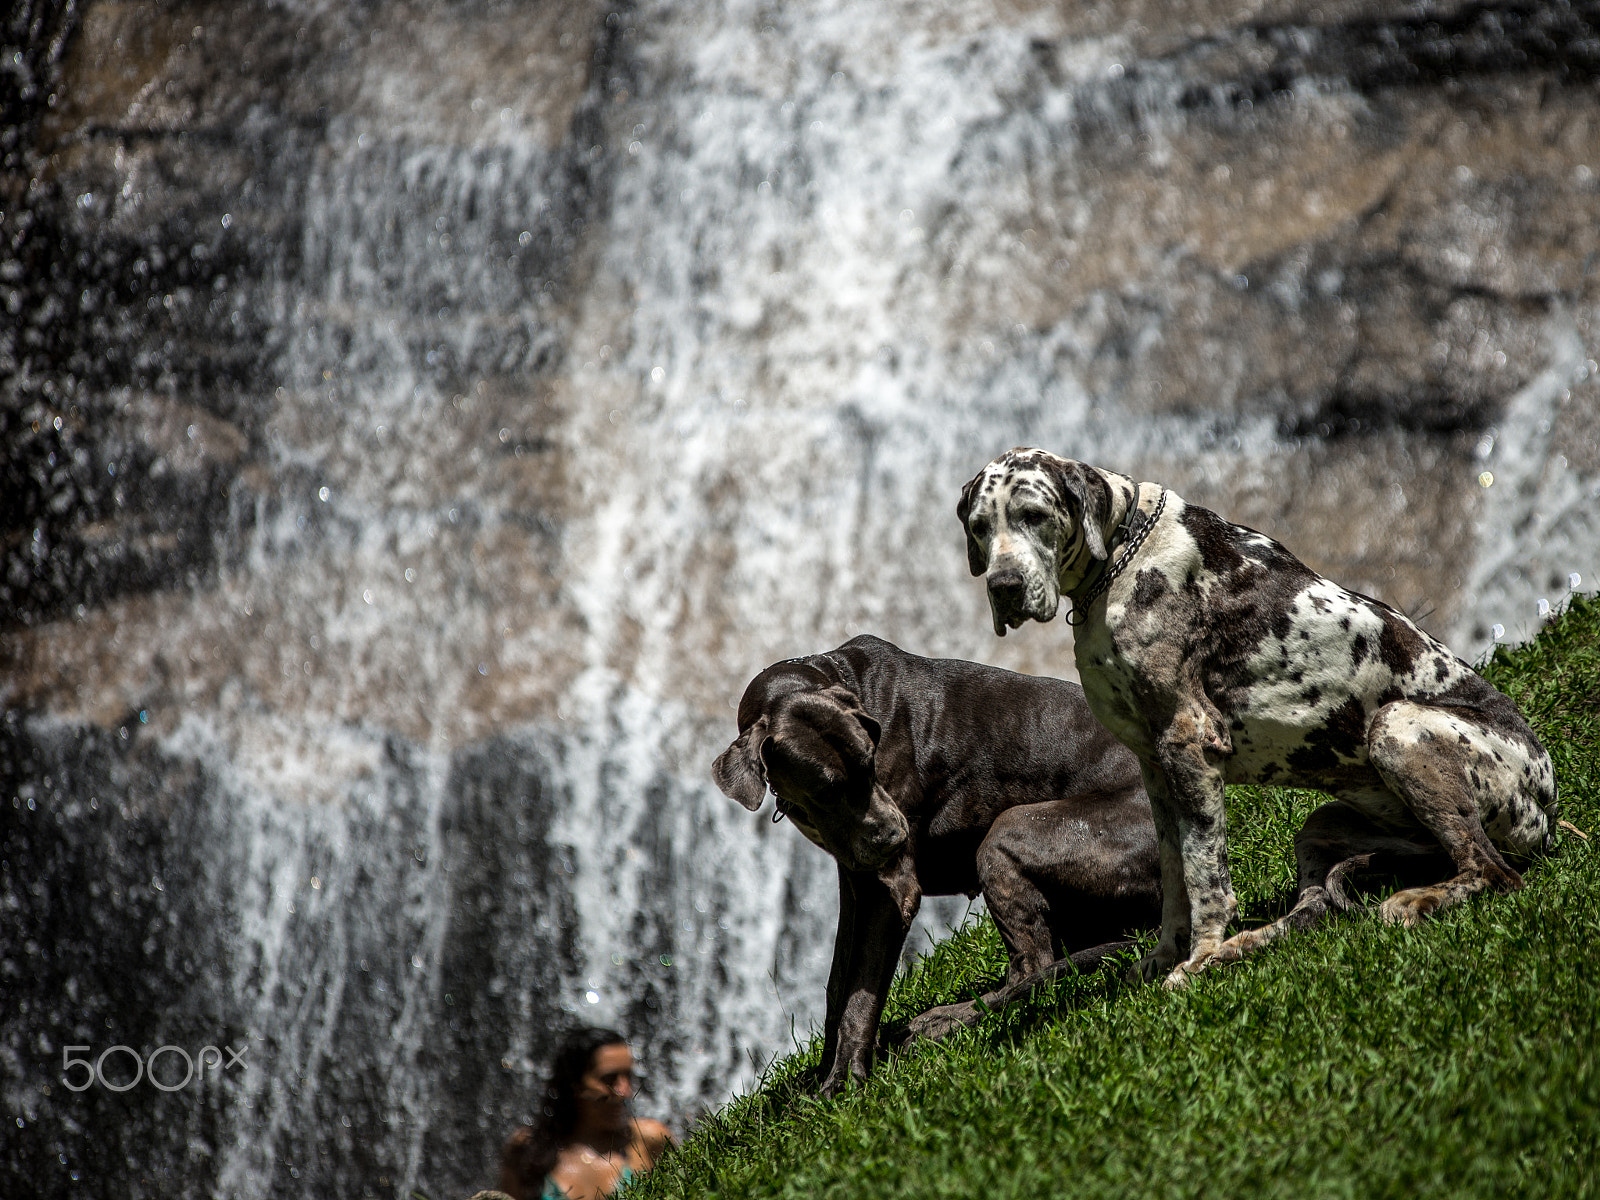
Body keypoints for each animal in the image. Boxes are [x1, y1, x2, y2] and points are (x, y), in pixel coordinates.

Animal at [720, 640, 1158, 1100]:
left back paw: (944, 1021)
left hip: (1009, 830)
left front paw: (845, 1080)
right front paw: (818, 1079)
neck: (834, 674)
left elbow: (860, 994)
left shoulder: (891, 890)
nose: (894, 837)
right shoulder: (856, 882)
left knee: (1034, 969)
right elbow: (838, 985)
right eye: (825, 790)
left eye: (871, 762)